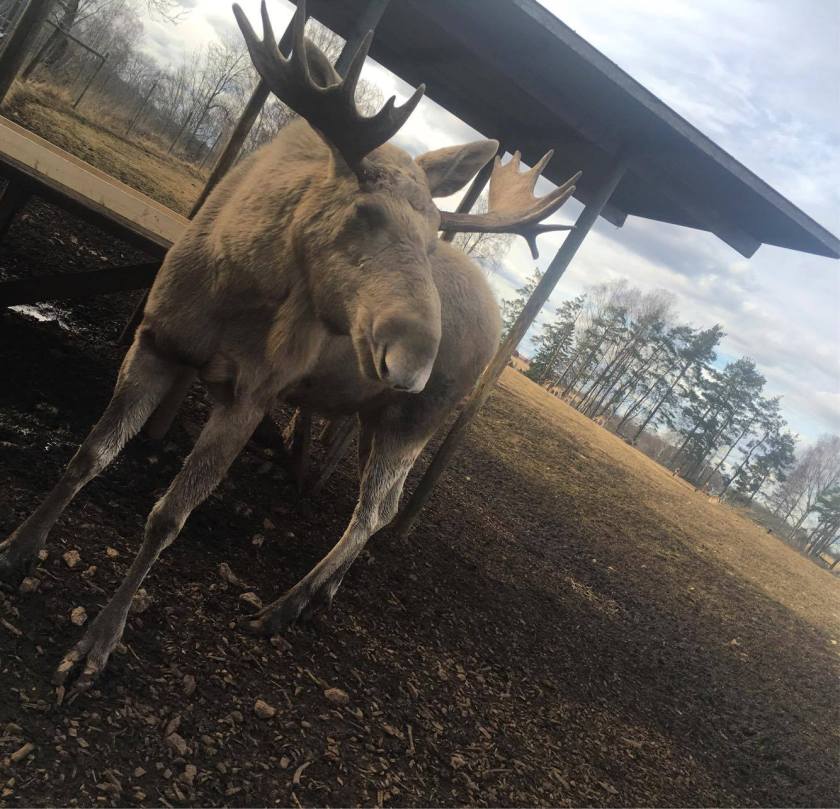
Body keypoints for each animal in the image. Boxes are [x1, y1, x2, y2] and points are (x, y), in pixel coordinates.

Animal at [0, 0, 578, 692]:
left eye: (433, 234)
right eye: (364, 211)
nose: (414, 360)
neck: (230, 285)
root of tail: (494, 325)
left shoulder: (251, 394)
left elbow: (169, 515)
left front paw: (96, 644)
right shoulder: (156, 340)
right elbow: (88, 454)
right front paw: (18, 548)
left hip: (416, 419)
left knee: (374, 511)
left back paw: (284, 605)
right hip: (375, 415)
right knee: (380, 503)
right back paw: (324, 591)